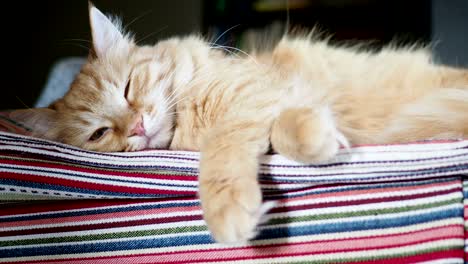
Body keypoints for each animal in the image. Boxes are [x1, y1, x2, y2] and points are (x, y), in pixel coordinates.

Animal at [18, 5, 468, 243]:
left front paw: (229, 209)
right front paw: (322, 135)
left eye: (128, 88)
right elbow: (278, 131)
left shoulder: (257, 93)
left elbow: (225, 150)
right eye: (99, 133)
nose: (137, 128)